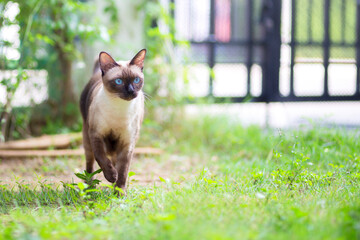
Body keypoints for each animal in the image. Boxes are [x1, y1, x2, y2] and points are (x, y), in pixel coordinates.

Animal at [79, 49, 146, 193]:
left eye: (136, 80)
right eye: (119, 81)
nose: (131, 91)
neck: (120, 110)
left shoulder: (127, 144)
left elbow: (123, 171)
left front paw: (119, 191)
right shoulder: (96, 135)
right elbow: (101, 158)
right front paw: (111, 176)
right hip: (87, 139)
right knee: (90, 165)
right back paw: (89, 187)